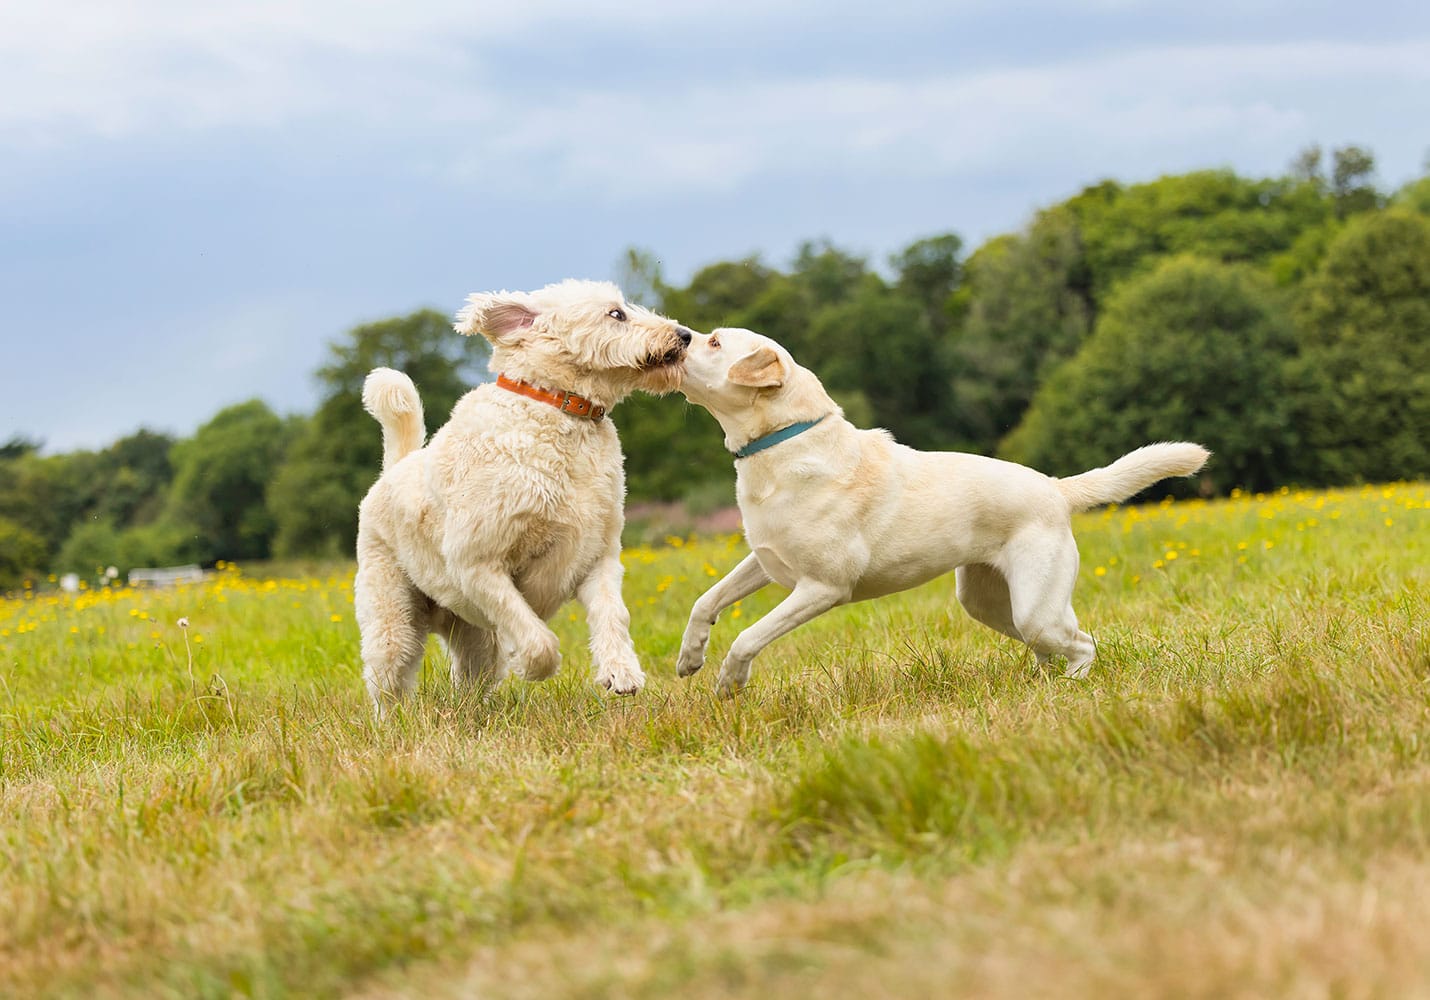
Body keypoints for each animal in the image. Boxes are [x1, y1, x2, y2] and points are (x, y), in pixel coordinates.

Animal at [356, 277, 692, 712]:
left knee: (468, 680)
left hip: (472, 637)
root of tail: (392, 471)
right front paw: (532, 666)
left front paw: (621, 672)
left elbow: (613, 615)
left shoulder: (598, 558)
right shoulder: (478, 564)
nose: (685, 335)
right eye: (616, 313)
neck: (560, 409)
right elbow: (532, 633)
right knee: (388, 684)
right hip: (393, 620)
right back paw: (395, 721)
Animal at [672, 329, 1206, 695]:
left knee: (1083, 643)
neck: (783, 441)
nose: (679, 336)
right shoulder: (764, 561)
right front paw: (689, 658)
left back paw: (1072, 690)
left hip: (1034, 609)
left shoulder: (822, 588)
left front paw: (728, 682)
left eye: (714, 342)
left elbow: (748, 636)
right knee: (1063, 642)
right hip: (990, 603)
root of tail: (1055, 489)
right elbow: (706, 600)